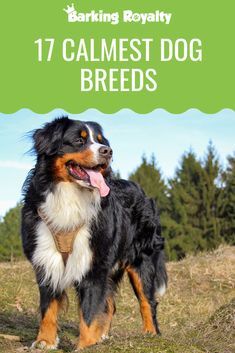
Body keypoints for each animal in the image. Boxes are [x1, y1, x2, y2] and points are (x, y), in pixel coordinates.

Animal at [20, 117, 167, 348]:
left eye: (100, 141)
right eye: (79, 140)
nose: (108, 151)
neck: (69, 197)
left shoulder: (94, 265)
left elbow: (89, 313)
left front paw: (85, 346)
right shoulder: (46, 259)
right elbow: (48, 307)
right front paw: (45, 341)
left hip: (141, 260)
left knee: (147, 301)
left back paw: (150, 334)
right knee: (110, 304)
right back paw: (103, 337)